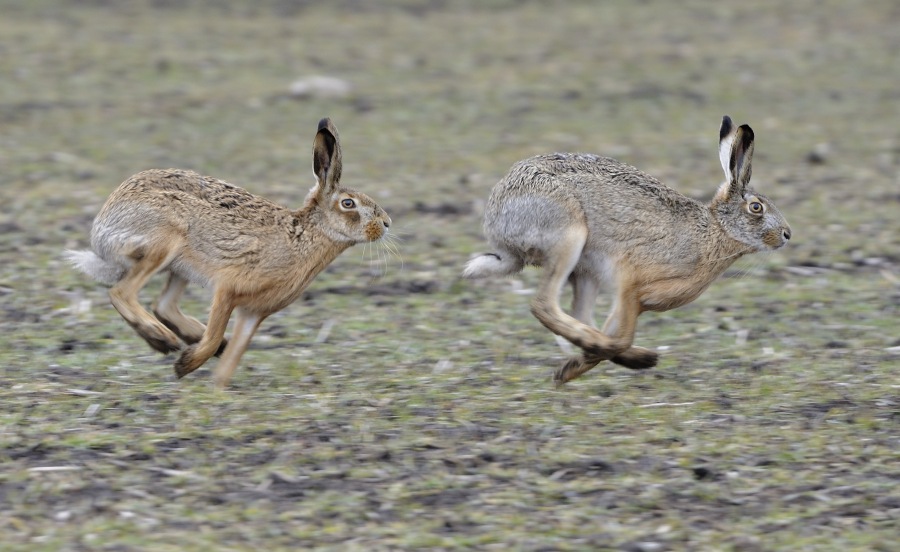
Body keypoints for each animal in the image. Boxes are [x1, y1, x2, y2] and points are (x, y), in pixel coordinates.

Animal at [66, 118, 391, 388]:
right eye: (348, 204)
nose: (386, 223)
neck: (304, 234)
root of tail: (102, 229)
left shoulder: (253, 312)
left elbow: (236, 353)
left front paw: (218, 386)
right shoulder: (228, 289)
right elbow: (213, 338)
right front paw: (184, 367)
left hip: (179, 266)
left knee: (164, 305)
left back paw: (185, 339)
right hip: (165, 240)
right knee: (122, 293)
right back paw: (164, 340)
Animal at [463, 116, 791, 385]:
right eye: (756, 207)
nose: (787, 235)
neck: (714, 230)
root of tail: (497, 222)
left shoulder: (634, 299)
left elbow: (614, 329)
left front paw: (574, 366)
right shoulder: (631, 282)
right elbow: (622, 334)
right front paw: (576, 366)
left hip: (586, 272)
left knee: (580, 316)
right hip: (569, 237)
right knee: (544, 305)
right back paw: (631, 356)